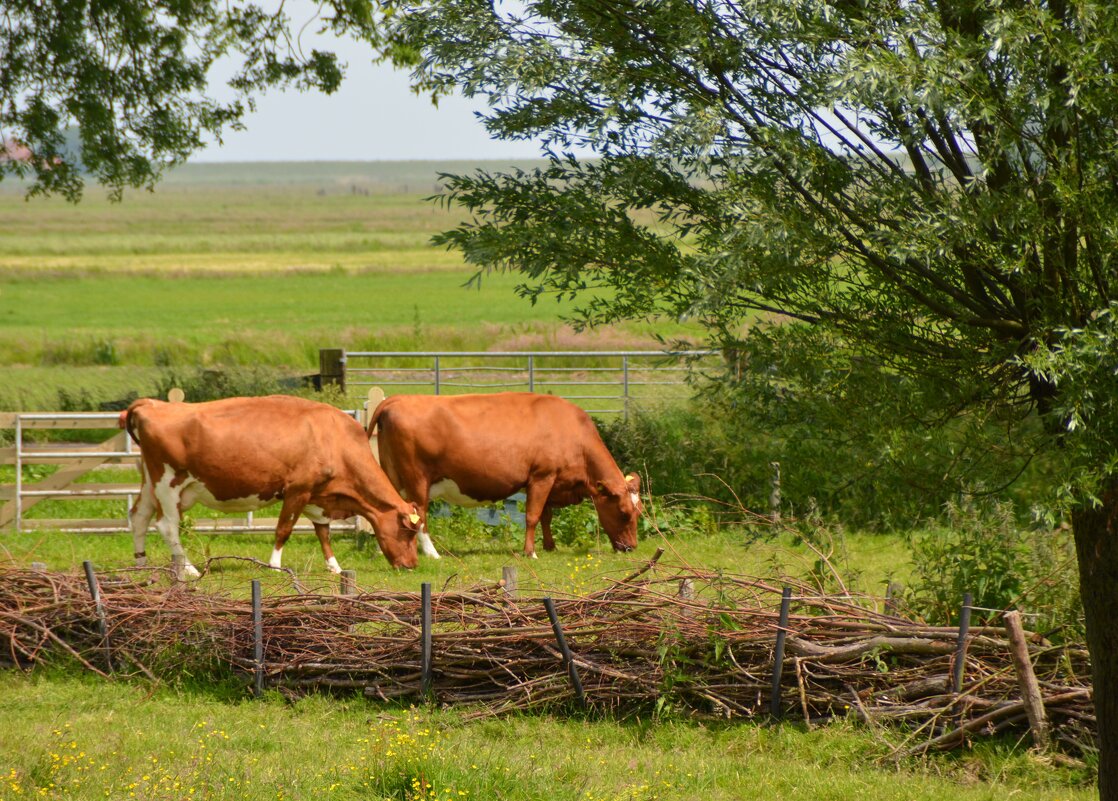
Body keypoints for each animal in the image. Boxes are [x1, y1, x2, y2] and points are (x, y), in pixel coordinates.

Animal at [120, 396, 420, 577]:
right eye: (408, 531)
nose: (413, 565)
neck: (334, 438)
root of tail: (152, 404)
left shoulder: (318, 495)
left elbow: (323, 533)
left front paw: (334, 566)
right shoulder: (297, 490)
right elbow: (283, 530)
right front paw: (275, 565)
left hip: (150, 483)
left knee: (139, 517)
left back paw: (140, 562)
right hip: (168, 484)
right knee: (167, 525)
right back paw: (189, 569)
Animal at [371, 393, 643, 557]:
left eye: (638, 512)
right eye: (623, 513)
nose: (631, 547)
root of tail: (396, 399)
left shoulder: (549, 481)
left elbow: (546, 517)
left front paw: (550, 546)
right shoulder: (542, 477)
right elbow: (533, 516)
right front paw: (530, 552)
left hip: (393, 477)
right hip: (418, 480)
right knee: (420, 514)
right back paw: (433, 554)